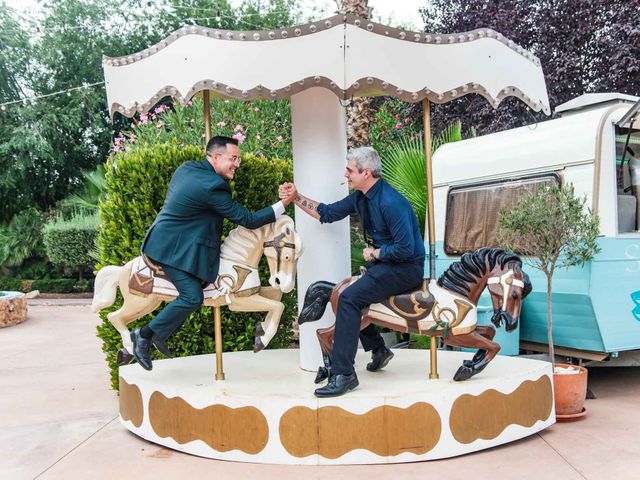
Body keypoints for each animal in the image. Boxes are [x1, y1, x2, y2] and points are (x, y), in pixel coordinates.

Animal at [92, 215, 302, 364]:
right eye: (287, 257)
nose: (285, 284)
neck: (236, 261)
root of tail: (123, 268)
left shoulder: (252, 292)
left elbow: (277, 299)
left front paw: (261, 329)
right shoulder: (239, 301)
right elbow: (278, 306)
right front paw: (262, 340)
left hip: (151, 303)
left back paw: (131, 352)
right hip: (140, 301)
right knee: (114, 317)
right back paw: (134, 349)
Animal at [298, 248, 528, 382]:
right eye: (515, 294)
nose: (511, 323)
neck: (457, 291)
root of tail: (337, 286)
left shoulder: (464, 330)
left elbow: (489, 333)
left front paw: (472, 361)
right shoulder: (455, 336)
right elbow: (494, 346)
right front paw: (466, 371)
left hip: (365, 319)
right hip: (357, 318)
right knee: (322, 333)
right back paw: (328, 370)